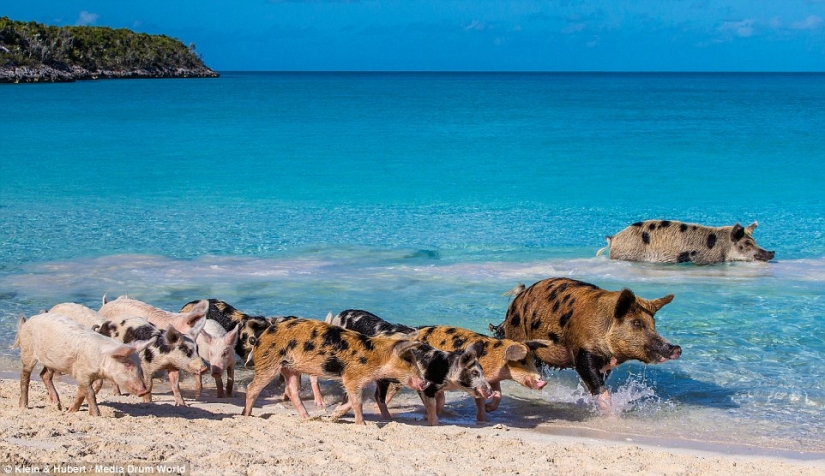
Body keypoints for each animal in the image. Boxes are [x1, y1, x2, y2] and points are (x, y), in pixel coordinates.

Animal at [13, 313, 155, 416]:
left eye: (139, 366)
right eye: (127, 364)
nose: (144, 390)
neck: (100, 362)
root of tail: (29, 320)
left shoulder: (87, 376)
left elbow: (81, 393)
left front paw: (70, 411)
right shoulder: (82, 373)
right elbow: (90, 393)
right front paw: (97, 415)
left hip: (52, 361)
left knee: (44, 375)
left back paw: (58, 406)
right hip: (27, 351)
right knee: (25, 377)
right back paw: (23, 406)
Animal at [241, 317, 429, 425]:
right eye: (408, 359)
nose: (425, 382)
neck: (375, 357)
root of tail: (262, 336)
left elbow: (353, 400)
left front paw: (333, 416)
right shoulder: (351, 377)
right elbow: (357, 401)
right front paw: (362, 425)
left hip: (290, 367)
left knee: (292, 390)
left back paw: (308, 418)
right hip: (269, 363)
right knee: (252, 388)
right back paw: (246, 416)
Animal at [328, 309, 492, 425]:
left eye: (482, 372)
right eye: (475, 373)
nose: (490, 391)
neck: (444, 370)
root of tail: (341, 314)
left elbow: (441, 401)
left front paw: (426, 418)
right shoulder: (426, 387)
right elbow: (432, 405)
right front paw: (433, 423)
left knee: (375, 396)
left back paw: (387, 419)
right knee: (370, 395)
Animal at [414, 325, 551, 422]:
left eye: (532, 360)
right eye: (522, 362)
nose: (542, 381)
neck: (498, 362)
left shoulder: (494, 380)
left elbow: (499, 395)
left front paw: (488, 409)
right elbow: (480, 399)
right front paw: (483, 419)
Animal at [490, 278, 681, 410]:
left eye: (653, 324)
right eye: (637, 323)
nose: (676, 348)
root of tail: (515, 302)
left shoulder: (605, 365)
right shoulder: (582, 352)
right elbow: (595, 382)